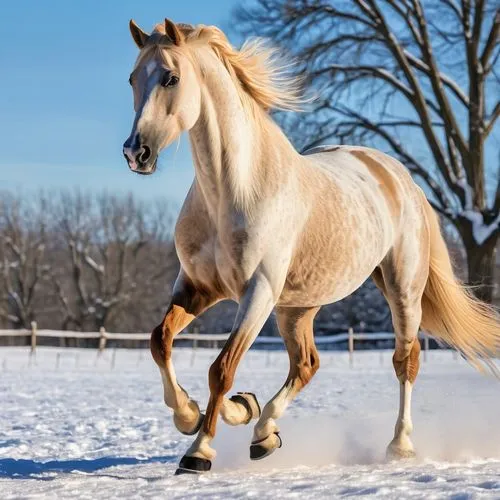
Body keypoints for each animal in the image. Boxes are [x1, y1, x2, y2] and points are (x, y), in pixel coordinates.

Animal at [122, 18, 500, 472]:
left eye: (171, 77)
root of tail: (401, 179)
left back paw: (399, 446)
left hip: (401, 291)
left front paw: (199, 450)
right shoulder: (197, 287)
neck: (234, 191)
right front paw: (198, 413)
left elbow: (221, 368)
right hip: (298, 306)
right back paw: (262, 431)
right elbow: (159, 340)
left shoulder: (258, 293)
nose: (136, 152)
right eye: (132, 79)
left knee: (404, 362)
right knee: (306, 364)